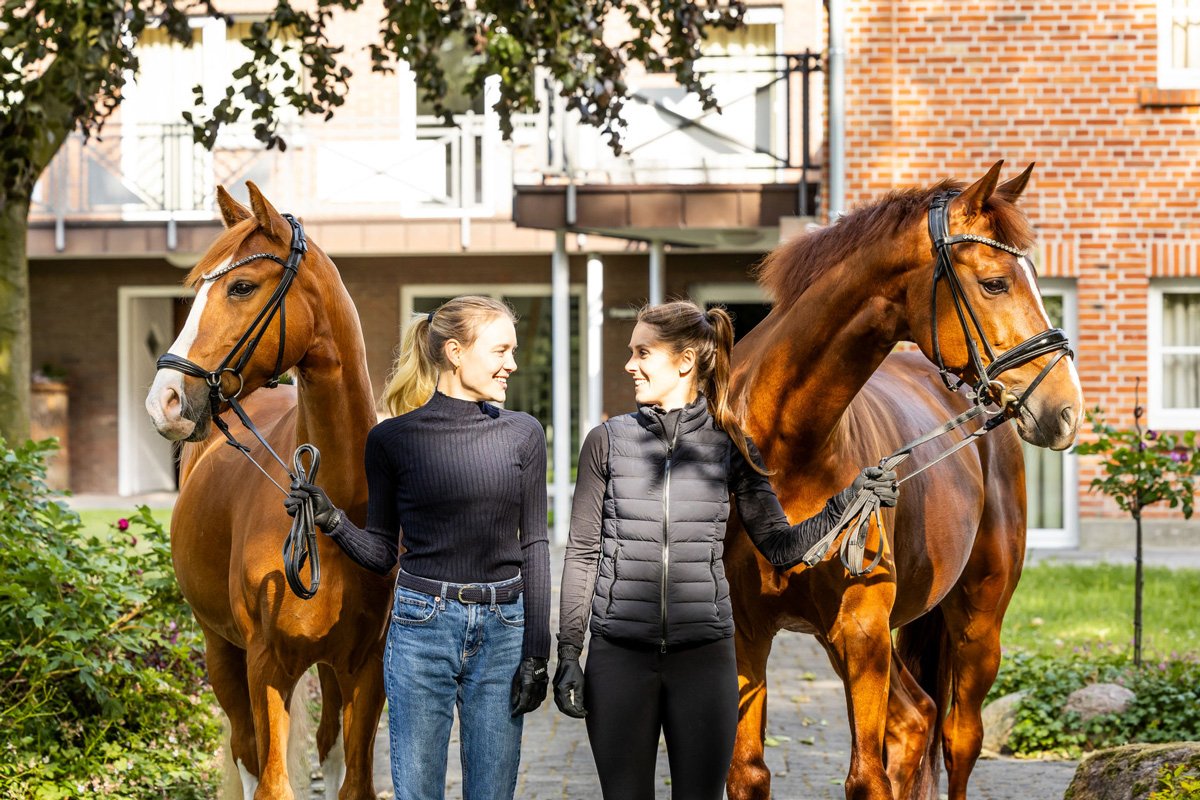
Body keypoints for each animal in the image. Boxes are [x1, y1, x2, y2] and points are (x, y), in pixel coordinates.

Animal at [145, 183, 391, 800]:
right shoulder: (266, 665)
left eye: (241, 286)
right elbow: (272, 780)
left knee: (326, 745)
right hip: (221, 652)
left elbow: (353, 778)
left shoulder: (367, 666)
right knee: (245, 748)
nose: (164, 400)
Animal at [723, 162, 1083, 800]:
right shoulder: (748, 631)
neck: (787, 446)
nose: (1066, 408)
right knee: (916, 718)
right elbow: (748, 774)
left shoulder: (863, 629)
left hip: (977, 623)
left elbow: (866, 778)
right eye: (995, 283)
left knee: (958, 736)